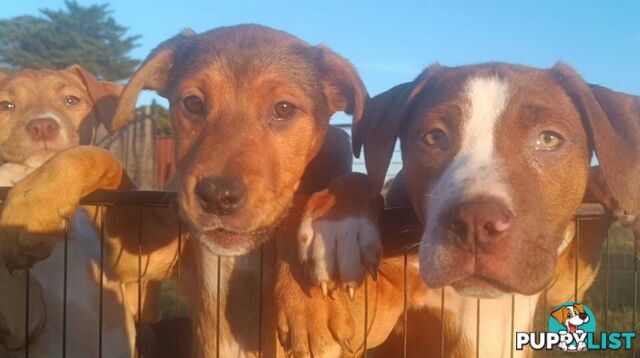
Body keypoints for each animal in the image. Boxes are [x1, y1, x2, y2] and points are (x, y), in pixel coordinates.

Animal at [0, 23, 368, 356]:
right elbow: (99, 155)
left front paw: (313, 293)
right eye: (192, 103)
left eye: (284, 109)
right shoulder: (138, 255)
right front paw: (34, 203)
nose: (218, 196)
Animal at [280, 63, 640, 356]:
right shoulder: (380, 312)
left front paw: (623, 183)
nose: (476, 222)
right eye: (433, 137)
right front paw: (334, 230)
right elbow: (360, 180)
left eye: (549, 139)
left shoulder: (558, 284)